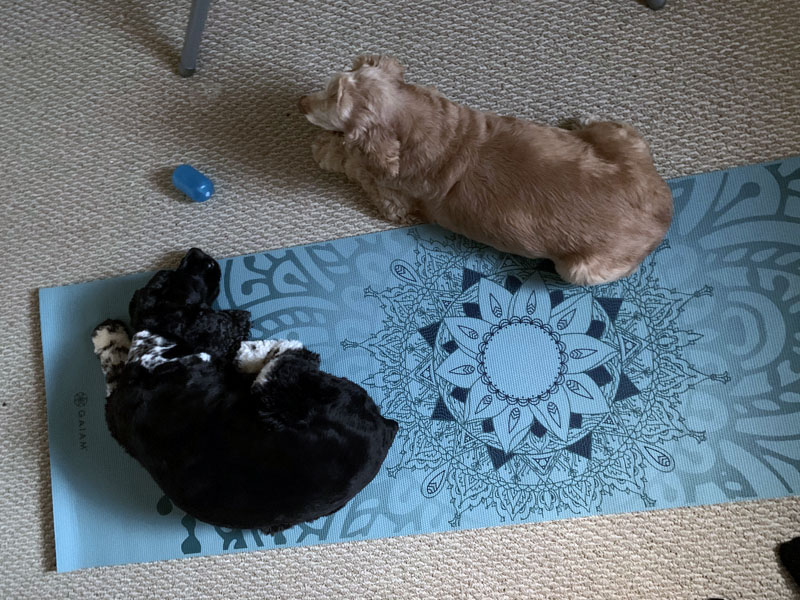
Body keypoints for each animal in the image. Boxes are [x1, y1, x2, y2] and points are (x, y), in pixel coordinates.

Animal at [92, 248, 398, 536]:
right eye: (182, 274)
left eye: (169, 274)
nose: (196, 252)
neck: (158, 342)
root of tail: (385, 427)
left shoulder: (116, 415)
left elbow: (112, 373)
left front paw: (106, 333)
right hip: (285, 400)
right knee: (292, 362)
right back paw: (260, 351)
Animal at [300, 55, 676, 284]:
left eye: (331, 103)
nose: (301, 103)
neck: (416, 118)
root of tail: (663, 217)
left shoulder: (394, 198)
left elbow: (358, 165)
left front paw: (326, 149)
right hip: (623, 140)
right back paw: (581, 122)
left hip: (580, 270)